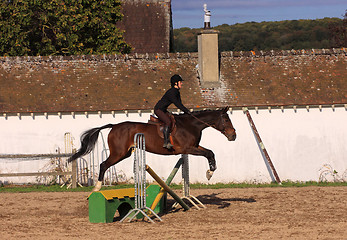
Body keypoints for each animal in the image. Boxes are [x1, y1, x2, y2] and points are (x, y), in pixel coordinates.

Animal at [68, 107, 237, 191]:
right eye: (226, 119)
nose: (233, 135)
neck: (191, 125)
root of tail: (114, 126)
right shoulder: (188, 148)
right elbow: (208, 153)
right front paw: (210, 172)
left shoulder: (194, 147)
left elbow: (211, 152)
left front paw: (210, 172)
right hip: (118, 153)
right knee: (104, 164)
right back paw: (97, 188)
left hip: (125, 154)